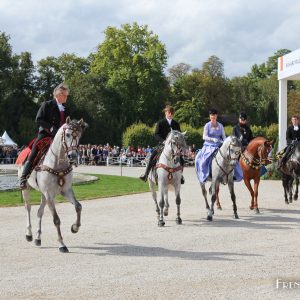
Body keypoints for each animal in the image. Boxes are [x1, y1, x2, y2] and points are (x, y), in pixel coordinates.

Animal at [17, 117, 87, 253]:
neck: (58, 163)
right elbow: (56, 220)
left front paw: (75, 227)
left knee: (40, 212)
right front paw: (62, 244)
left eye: (79, 135)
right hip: (27, 189)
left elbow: (78, 207)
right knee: (28, 208)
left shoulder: (66, 191)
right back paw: (29, 234)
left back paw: (38, 238)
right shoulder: (49, 193)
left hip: (44, 194)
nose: (73, 156)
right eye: (68, 134)